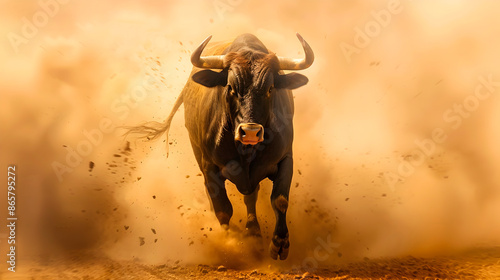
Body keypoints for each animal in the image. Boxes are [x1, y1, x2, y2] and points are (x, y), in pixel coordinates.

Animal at [130, 33, 316, 260]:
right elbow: (223, 208)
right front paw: (229, 243)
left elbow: (279, 200)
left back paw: (253, 232)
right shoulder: (211, 168)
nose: (250, 132)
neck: (247, 152)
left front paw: (279, 244)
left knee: (251, 197)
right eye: (230, 87)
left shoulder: (285, 159)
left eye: (270, 89)